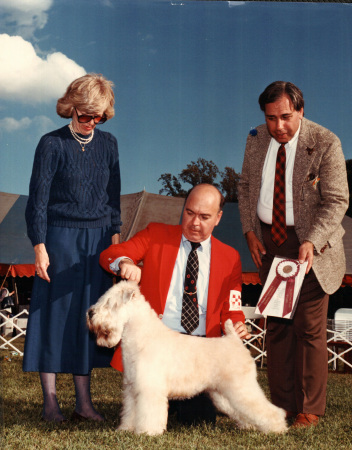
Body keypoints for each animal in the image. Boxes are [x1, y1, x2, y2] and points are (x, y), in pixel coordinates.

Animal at [86, 282, 288, 436]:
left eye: (111, 303)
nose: (90, 313)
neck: (141, 335)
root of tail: (234, 340)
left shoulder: (149, 388)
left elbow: (148, 413)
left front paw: (147, 432)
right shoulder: (131, 388)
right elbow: (130, 412)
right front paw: (127, 429)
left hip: (242, 388)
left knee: (266, 409)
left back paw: (277, 428)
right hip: (223, 394)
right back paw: (250, 426)